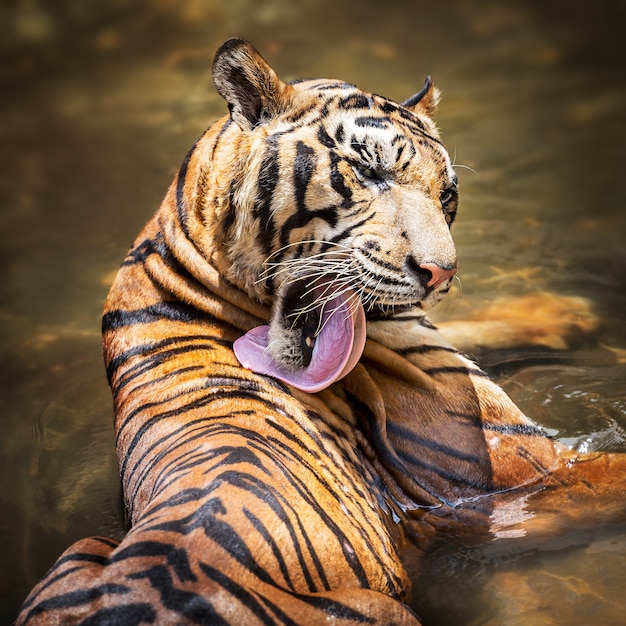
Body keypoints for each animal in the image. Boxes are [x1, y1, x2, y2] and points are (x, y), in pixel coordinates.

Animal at [17, 37, 624, 624]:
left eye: (447, 195)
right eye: (371, 172)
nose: (442, 274)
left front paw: (565, 312)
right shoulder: (526, 471)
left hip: (80, 550)